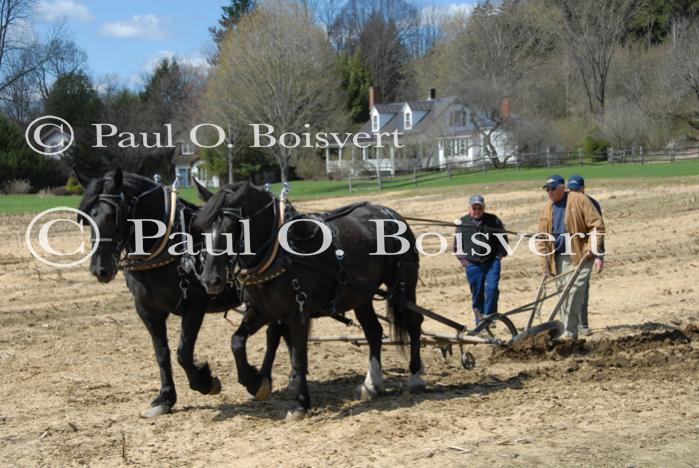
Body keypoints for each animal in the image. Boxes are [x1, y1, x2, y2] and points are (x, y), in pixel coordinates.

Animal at [78, 170, 290, 418]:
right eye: (87, 217)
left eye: (112, 214)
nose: (99, 269)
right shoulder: (147, 309)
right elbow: (161, 352)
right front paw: (165, 398)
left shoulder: (195, 304)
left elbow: (183, 352)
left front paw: (205, 382)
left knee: (274, 333)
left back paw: (260, 381)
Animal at [193, 181, 426, 418]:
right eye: (202, 229)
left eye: (232, 227)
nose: (210, 279)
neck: (279, 253)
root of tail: (390, 212)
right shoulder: (262, 311)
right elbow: (237, 342)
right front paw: (255, 383)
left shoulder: (298, 313)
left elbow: (298, 357)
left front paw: (301, 403)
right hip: (361, 295)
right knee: (374, 331)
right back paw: (372, 384)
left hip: (402, 284)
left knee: (414, 322)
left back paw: (415, 377)